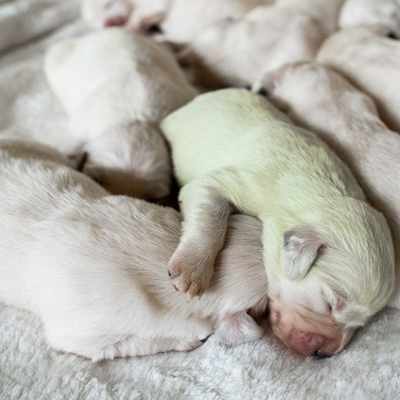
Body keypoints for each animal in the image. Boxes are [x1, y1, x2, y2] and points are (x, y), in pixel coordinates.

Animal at [161, 89, 396, 358]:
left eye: (365, 320)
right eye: (329, 303)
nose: (323, 353)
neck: (323, 187)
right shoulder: (238, 183)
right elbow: (210, 214)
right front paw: (193, 269)